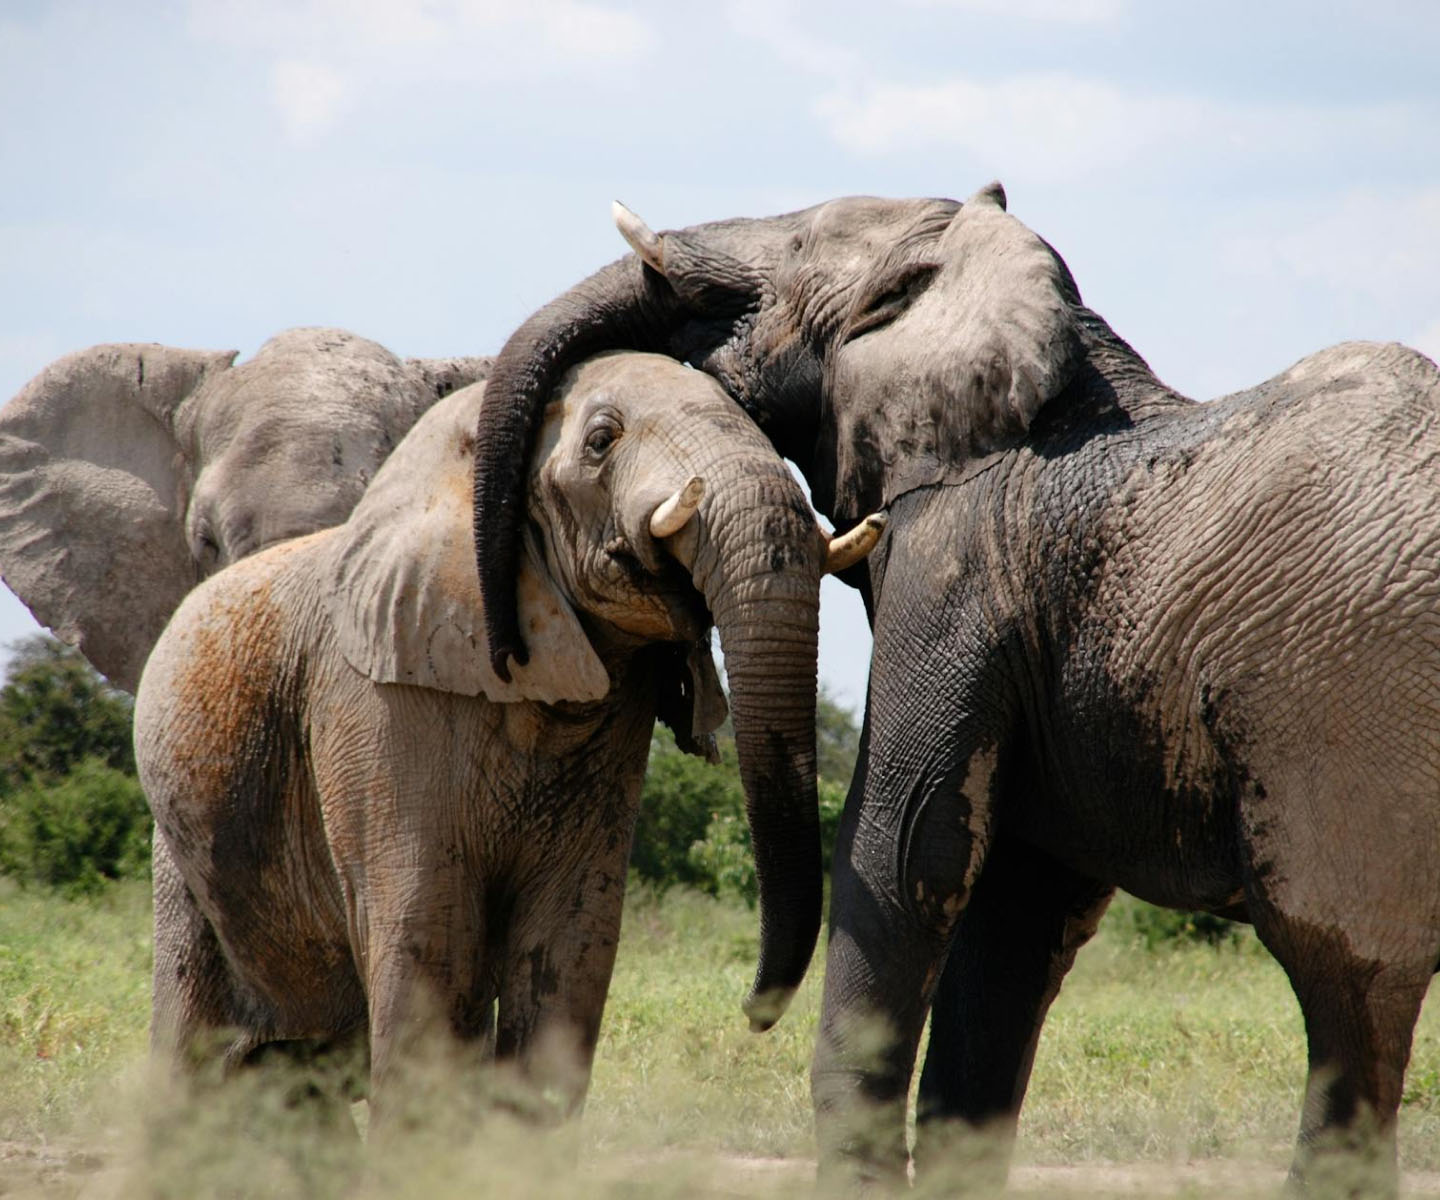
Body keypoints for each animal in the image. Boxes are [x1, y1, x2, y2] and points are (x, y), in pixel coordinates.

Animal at [134, 351, 876, 1119]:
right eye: (602, 440)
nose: (752, 1013)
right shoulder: (375, 707)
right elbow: (428, 939)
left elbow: (572, 943)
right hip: (182, 851)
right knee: (192, 1050)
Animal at [467, 184, 1440, 1192]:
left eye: (798, 246)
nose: (505, 648)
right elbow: (1013, 911)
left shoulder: (954, 562)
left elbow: (905, 847)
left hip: (1348, 704)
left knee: (1347, 988)